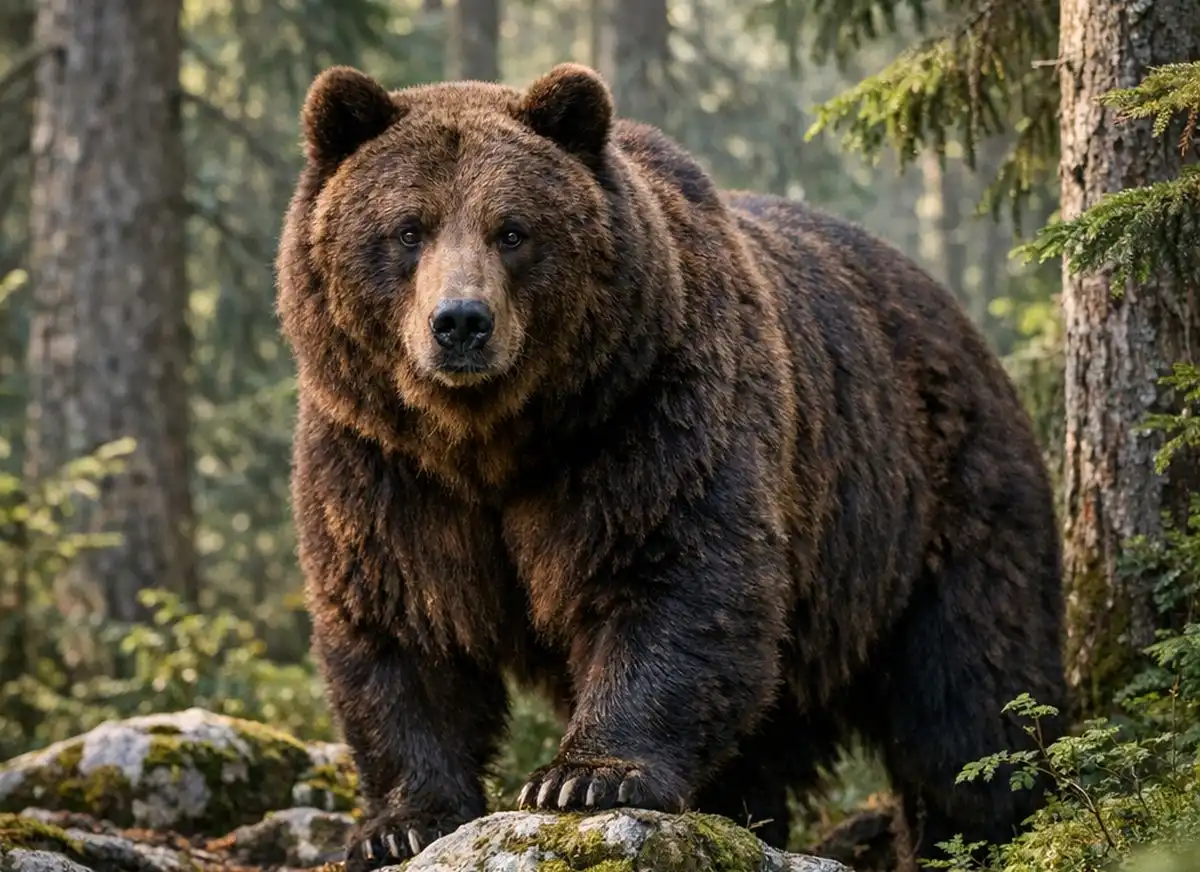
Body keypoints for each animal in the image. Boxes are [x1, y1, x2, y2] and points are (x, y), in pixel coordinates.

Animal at [276, 62, 1067, 872]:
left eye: (512, 230)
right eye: (409, 228)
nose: (461, 322)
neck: (490, 440)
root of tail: (958, 317)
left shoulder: (645, 414)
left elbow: (675, 573)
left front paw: (584, 777)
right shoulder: (381, 460)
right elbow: (402, 619)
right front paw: (402, 822)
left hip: (933, 504)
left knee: (969, 696)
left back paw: (984, 828)